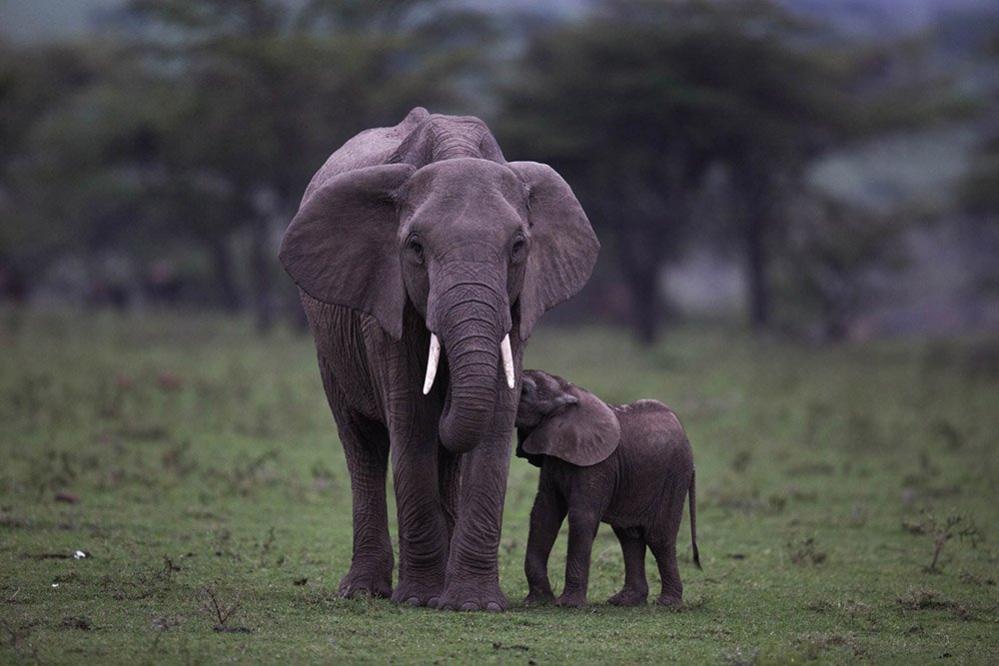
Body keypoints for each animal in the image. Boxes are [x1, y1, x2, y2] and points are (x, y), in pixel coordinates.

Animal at [278, 106, 596, 608]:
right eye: (415, 247)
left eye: (518, 246)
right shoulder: (385, 300)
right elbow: (412, 418)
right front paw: (418, 600)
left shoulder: (518, 303)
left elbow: (492, 420)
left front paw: (473, 604)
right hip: (329, 345)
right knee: (364, 444)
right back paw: (364, 591)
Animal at [520, 368, 700, 608]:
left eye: (525, 391)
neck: (568, 390)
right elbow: (544, 513)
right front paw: (537, 602)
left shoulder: (598, 463)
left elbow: (582, 516)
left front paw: (568, 605)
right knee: (629, 536)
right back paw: (625, 601)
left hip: (673, 477)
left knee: (659, 537)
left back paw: (668, 604)